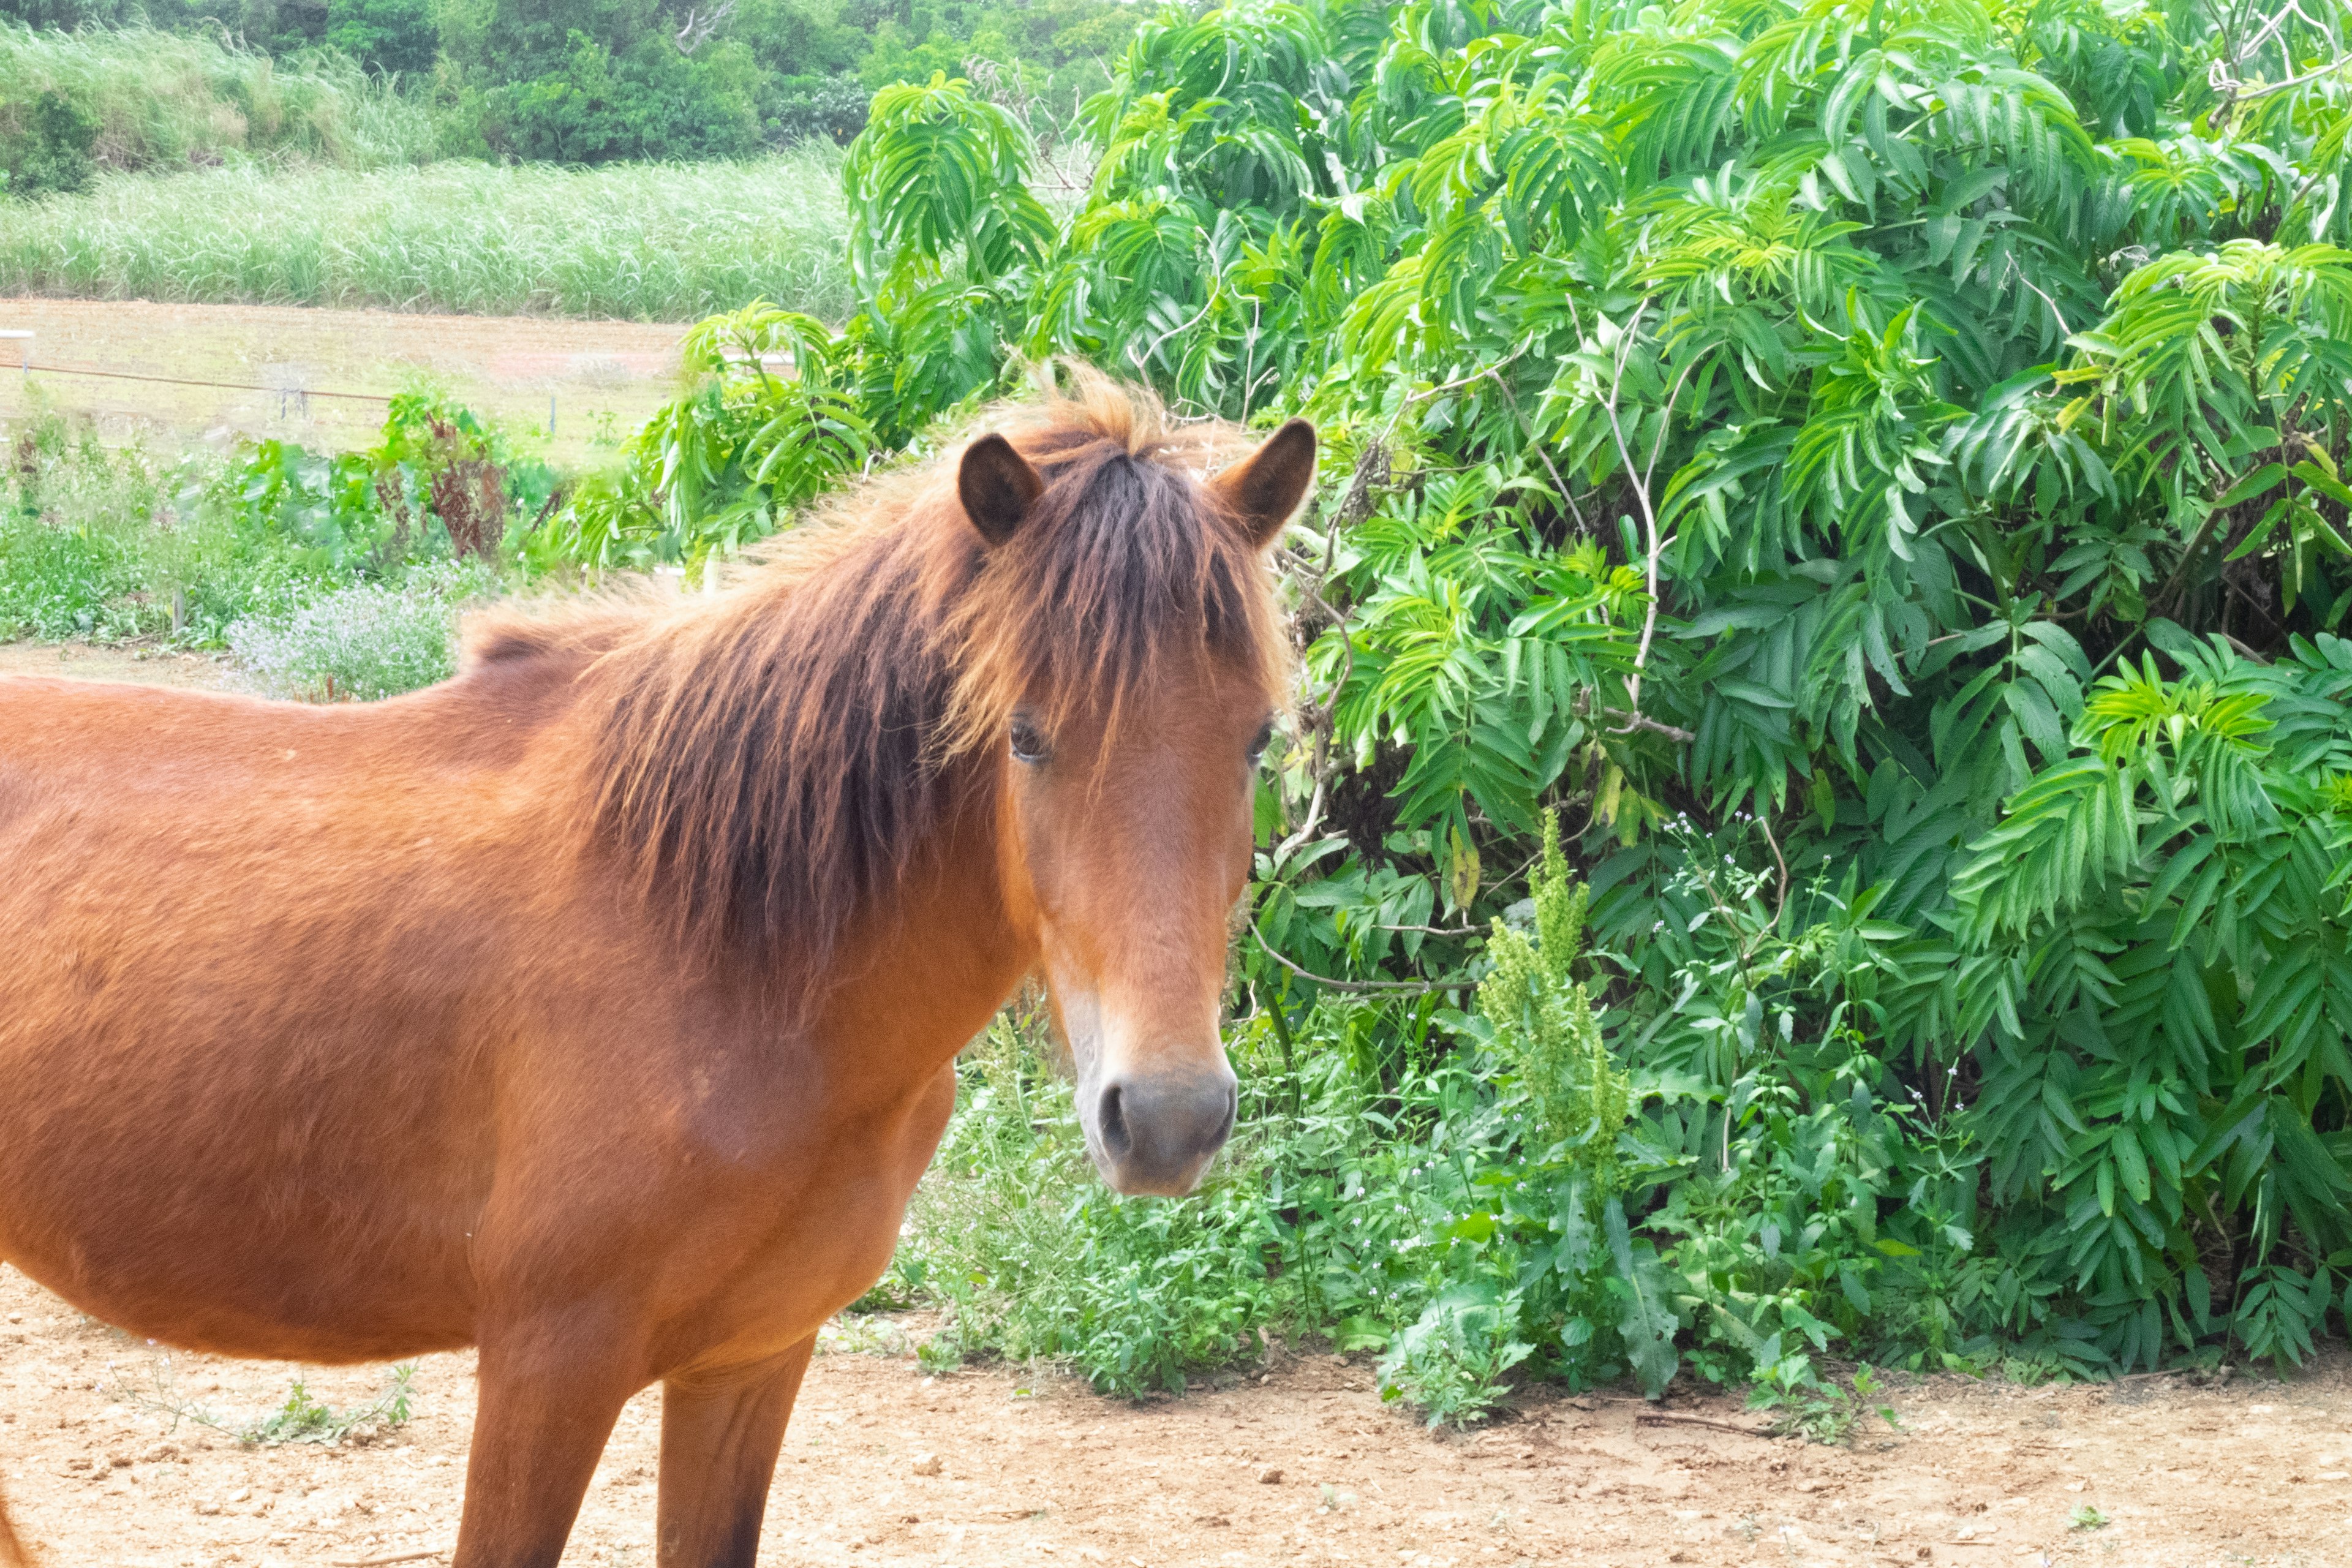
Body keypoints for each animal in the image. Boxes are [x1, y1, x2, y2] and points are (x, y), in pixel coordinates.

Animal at [0, 383, 1317, 1568]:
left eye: (1257, 736)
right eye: (1024, 733)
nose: (1167, 1117)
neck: (721, 949)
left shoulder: (750, 1362)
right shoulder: (547, 1368)